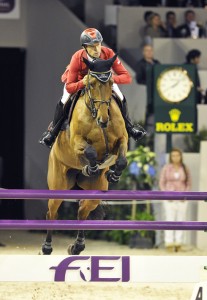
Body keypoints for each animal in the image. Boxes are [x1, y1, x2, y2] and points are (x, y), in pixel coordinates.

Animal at [41, 54, 129, 255]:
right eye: (91, 84)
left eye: (110, 82)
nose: (104, 120)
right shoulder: (77, 142)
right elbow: (89, 151)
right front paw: (92, 167)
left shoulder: (122, 140)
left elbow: (121, 159)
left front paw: (113, 174)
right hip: (58, 184)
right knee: (52, 211)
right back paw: (47, 247)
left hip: (94, 192)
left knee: (82, 210)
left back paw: (77, 246)